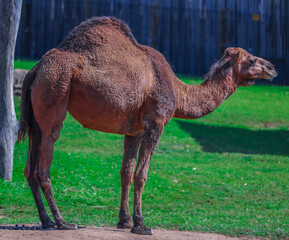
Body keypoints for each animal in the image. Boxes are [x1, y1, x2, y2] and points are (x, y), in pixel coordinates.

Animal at [16, 16, 276, 234]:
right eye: (251, 59)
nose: (272, 67)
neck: (178, 91)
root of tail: (35, 69)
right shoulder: (155, 124)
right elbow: (141, 174)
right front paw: (140, 224)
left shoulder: (134, 131)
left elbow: (126, 172)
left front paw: (124, 221)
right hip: (55, 91)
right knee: (43, 165)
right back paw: (62, 222)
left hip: (37, 114)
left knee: (29, 167)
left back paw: (46, 221)